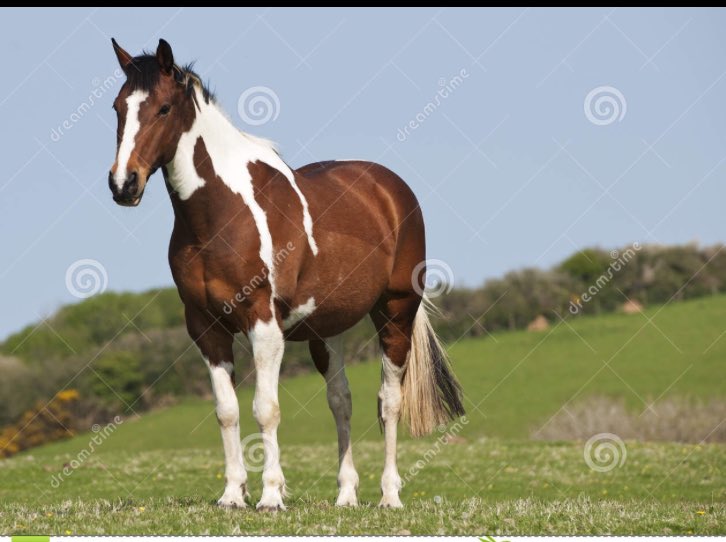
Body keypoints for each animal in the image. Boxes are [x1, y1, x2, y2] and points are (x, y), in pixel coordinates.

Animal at [107, 38, 465, 511]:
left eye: (163, 108)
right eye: (117, 108)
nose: (123, 184)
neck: (221, 215)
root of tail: (391, 189)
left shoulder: (264, 323)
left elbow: (266, 408)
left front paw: (271, 496)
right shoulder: (205, 327)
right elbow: (227, 411)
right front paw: (232, 495)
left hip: (395, 313)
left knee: (388, 401)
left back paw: (389, 495)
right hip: (327, 330)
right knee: (341, 401)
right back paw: (346, 495)